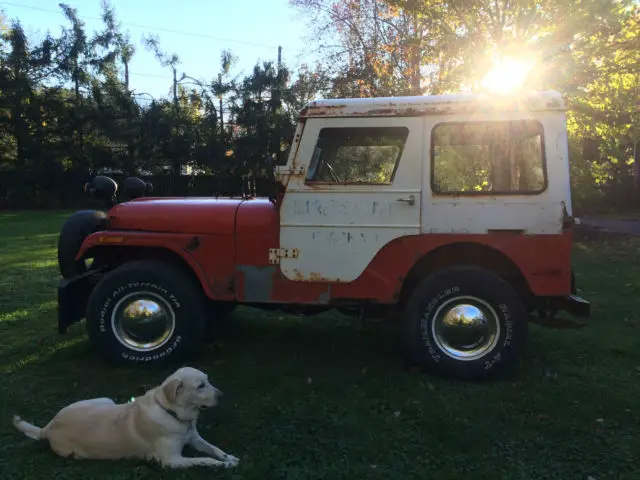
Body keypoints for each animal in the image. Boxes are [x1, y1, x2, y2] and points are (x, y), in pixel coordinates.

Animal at [11, 368, 241, 468]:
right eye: (200, 386)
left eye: (208, 380)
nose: (221, 395)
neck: (173, 414)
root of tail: (49, 426)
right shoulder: (172, 461)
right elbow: (202, 460)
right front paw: (221, 464)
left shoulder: (194, 438)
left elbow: (214, 449)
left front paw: (228, 457)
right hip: (75, 453)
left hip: (105, 399)